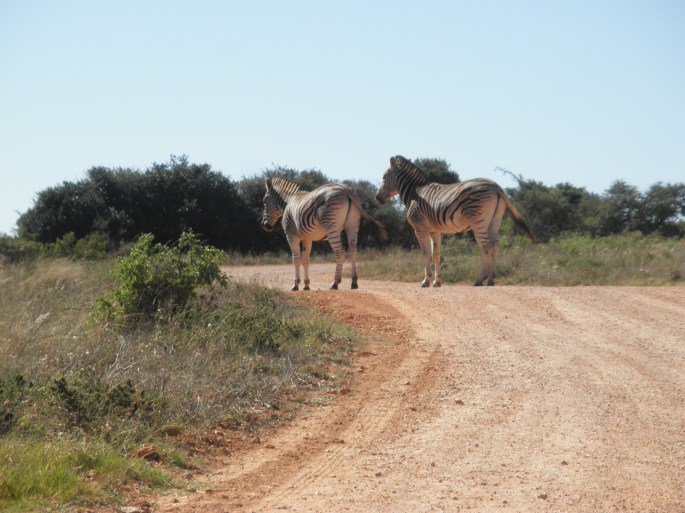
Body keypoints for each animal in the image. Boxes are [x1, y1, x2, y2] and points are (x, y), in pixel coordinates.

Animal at [375, 155, 536, 287]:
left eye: (384, 177)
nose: (377, 198)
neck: (415, 194)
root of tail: (495, 185)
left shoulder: (420, 228)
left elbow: (426, 253)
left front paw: (426, 281)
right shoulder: (435, 231)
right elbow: (436, 254)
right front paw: (437, 282)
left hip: (478, 222)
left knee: (486, 247)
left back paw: (479, 280)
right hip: (494, 221)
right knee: (495, 246)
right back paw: (491, 279)